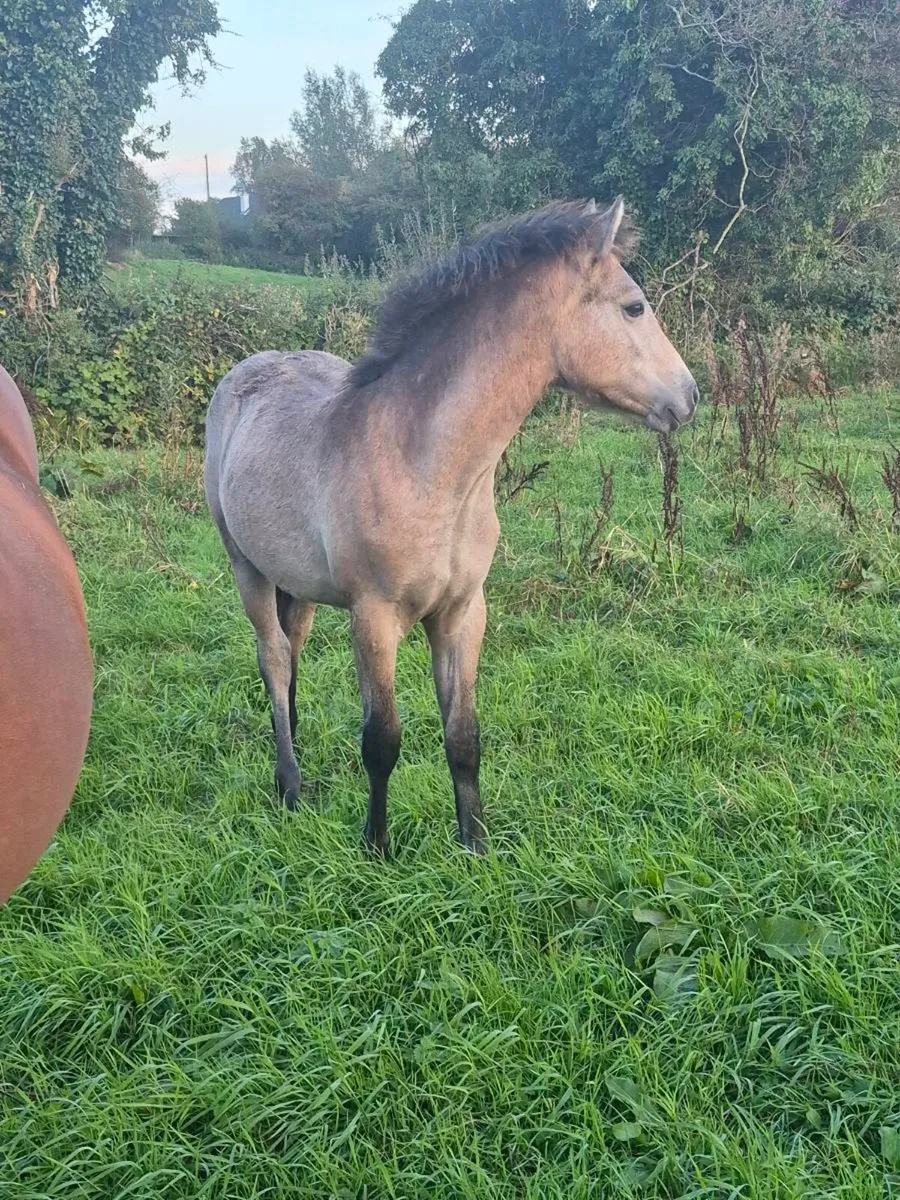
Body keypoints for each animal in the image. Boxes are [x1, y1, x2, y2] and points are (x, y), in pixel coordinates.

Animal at [205, 198, 698, 856]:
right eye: (635, 306)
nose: (690, 396)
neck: (429, 468)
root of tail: (245, 374)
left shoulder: (463, 612)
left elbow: (464, 736)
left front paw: (476, 846)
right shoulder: (374, 618)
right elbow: (382, 740)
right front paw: (376, 848)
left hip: (298, 585)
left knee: (293, 654)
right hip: (247, 568)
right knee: (274, 659)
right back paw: (289, 785)